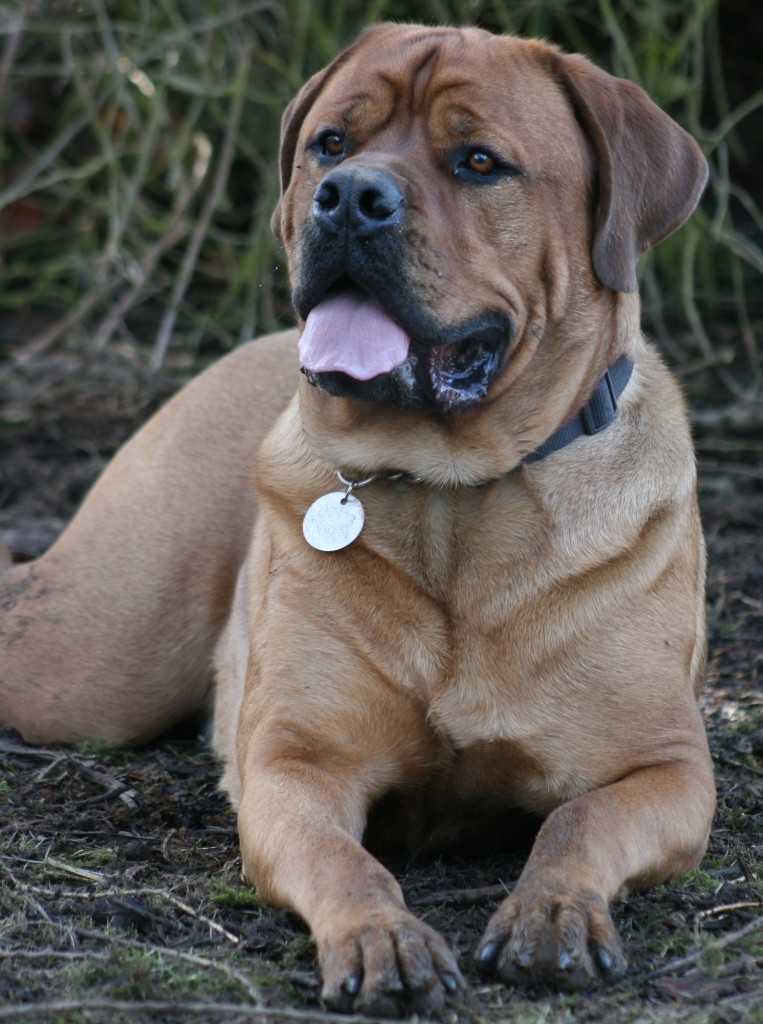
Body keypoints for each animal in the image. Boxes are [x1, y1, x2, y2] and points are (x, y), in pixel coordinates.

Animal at [0, 22, 712, 1015]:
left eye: (479, 161)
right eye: (330, 145)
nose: (349, 197)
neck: (451, 491)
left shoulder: (664, 764)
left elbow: (580, 820)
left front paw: (554, 913)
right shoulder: (295, 761)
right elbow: (346, 862)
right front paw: (381, 938)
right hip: (87, 659)